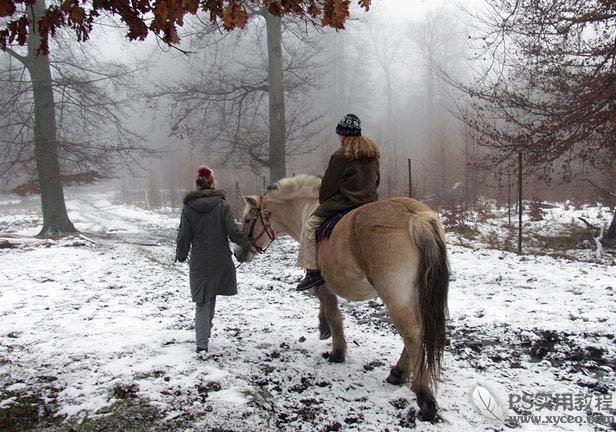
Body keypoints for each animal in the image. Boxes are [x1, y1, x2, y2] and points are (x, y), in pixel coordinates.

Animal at [233, 174, 450, 420]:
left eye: (248, 219)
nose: (237, 253)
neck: (308, 210)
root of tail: (414, 216)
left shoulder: (323, 285)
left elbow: (333, 314)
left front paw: (337, 351)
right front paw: (323, 329)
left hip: (397, 297)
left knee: (412, 335)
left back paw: (424, 397)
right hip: (415, 294)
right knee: (417, 333)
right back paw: (399, 373)